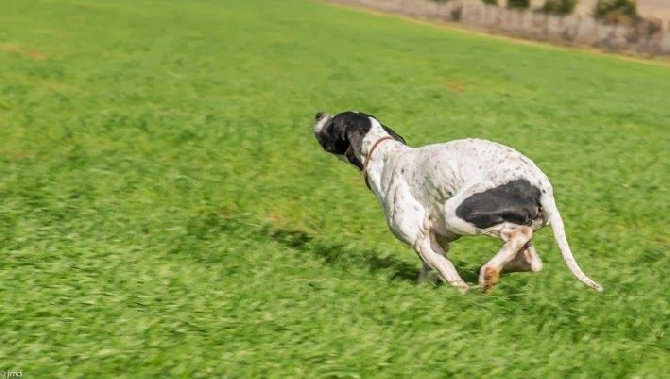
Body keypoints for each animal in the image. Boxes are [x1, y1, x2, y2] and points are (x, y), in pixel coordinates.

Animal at [314, 110, 604, 294]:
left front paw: (461, 292)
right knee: (531, 259)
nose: (318, 114)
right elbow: (430, 269)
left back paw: (488, 273)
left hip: (458, 212)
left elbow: (448, 272)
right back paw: (493, 273)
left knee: (519, 237)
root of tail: (542, 187)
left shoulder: (419, 239)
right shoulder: (436, 240)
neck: (386, 157)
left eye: (333, 123)